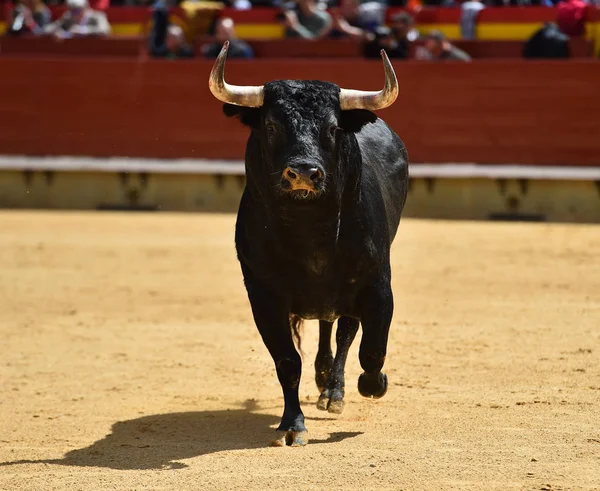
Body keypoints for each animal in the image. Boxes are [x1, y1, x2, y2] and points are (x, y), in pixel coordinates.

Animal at [209, 44, 410, 448]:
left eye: (332, 128)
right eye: (271, 126)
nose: (303, 172)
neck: (310, 231)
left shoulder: (378, 284)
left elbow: (372, 349)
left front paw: (374, 384)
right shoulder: (263, 294)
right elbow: (287, 360)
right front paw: (292, 425)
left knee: (346, 332)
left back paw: (334, 392)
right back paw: (322, 381)